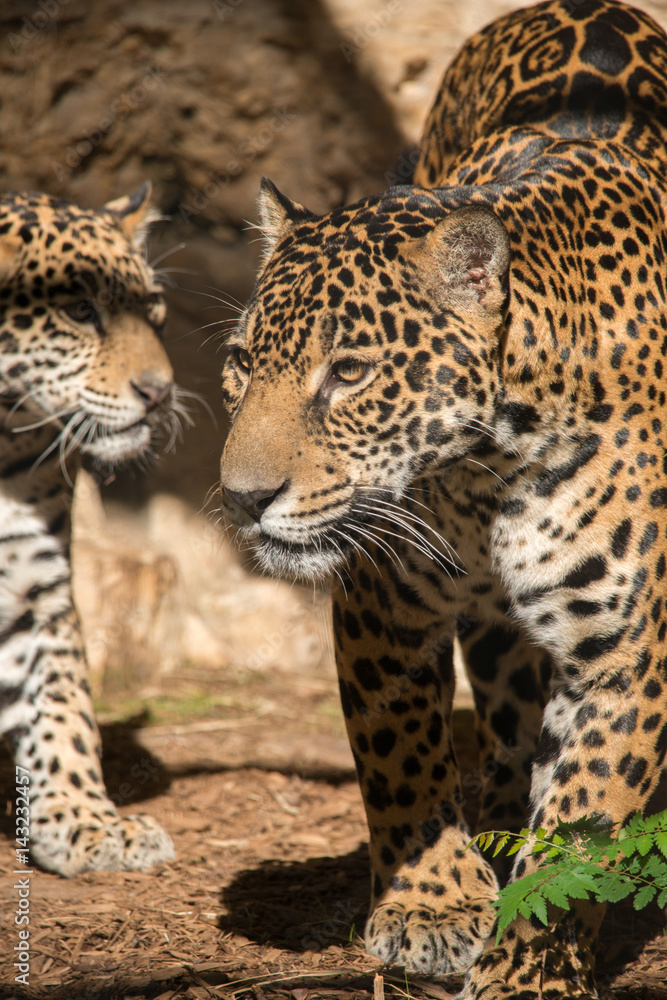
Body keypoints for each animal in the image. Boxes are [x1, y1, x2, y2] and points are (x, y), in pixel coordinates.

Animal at [0, 182, 180, 876]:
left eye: (151, 308)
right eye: (79, 311)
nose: (160, 392)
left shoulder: (36, 585)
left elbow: (62, 701)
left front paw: (83, 817)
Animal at [219, 1, 667, 997]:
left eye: (348, 374)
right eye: (240, 362)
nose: (240, 498)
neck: (487, 470)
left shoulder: (628, 652)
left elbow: (581, 826)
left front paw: (528, 970)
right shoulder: (382, 604)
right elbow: (401, 762)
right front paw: (431, 908)